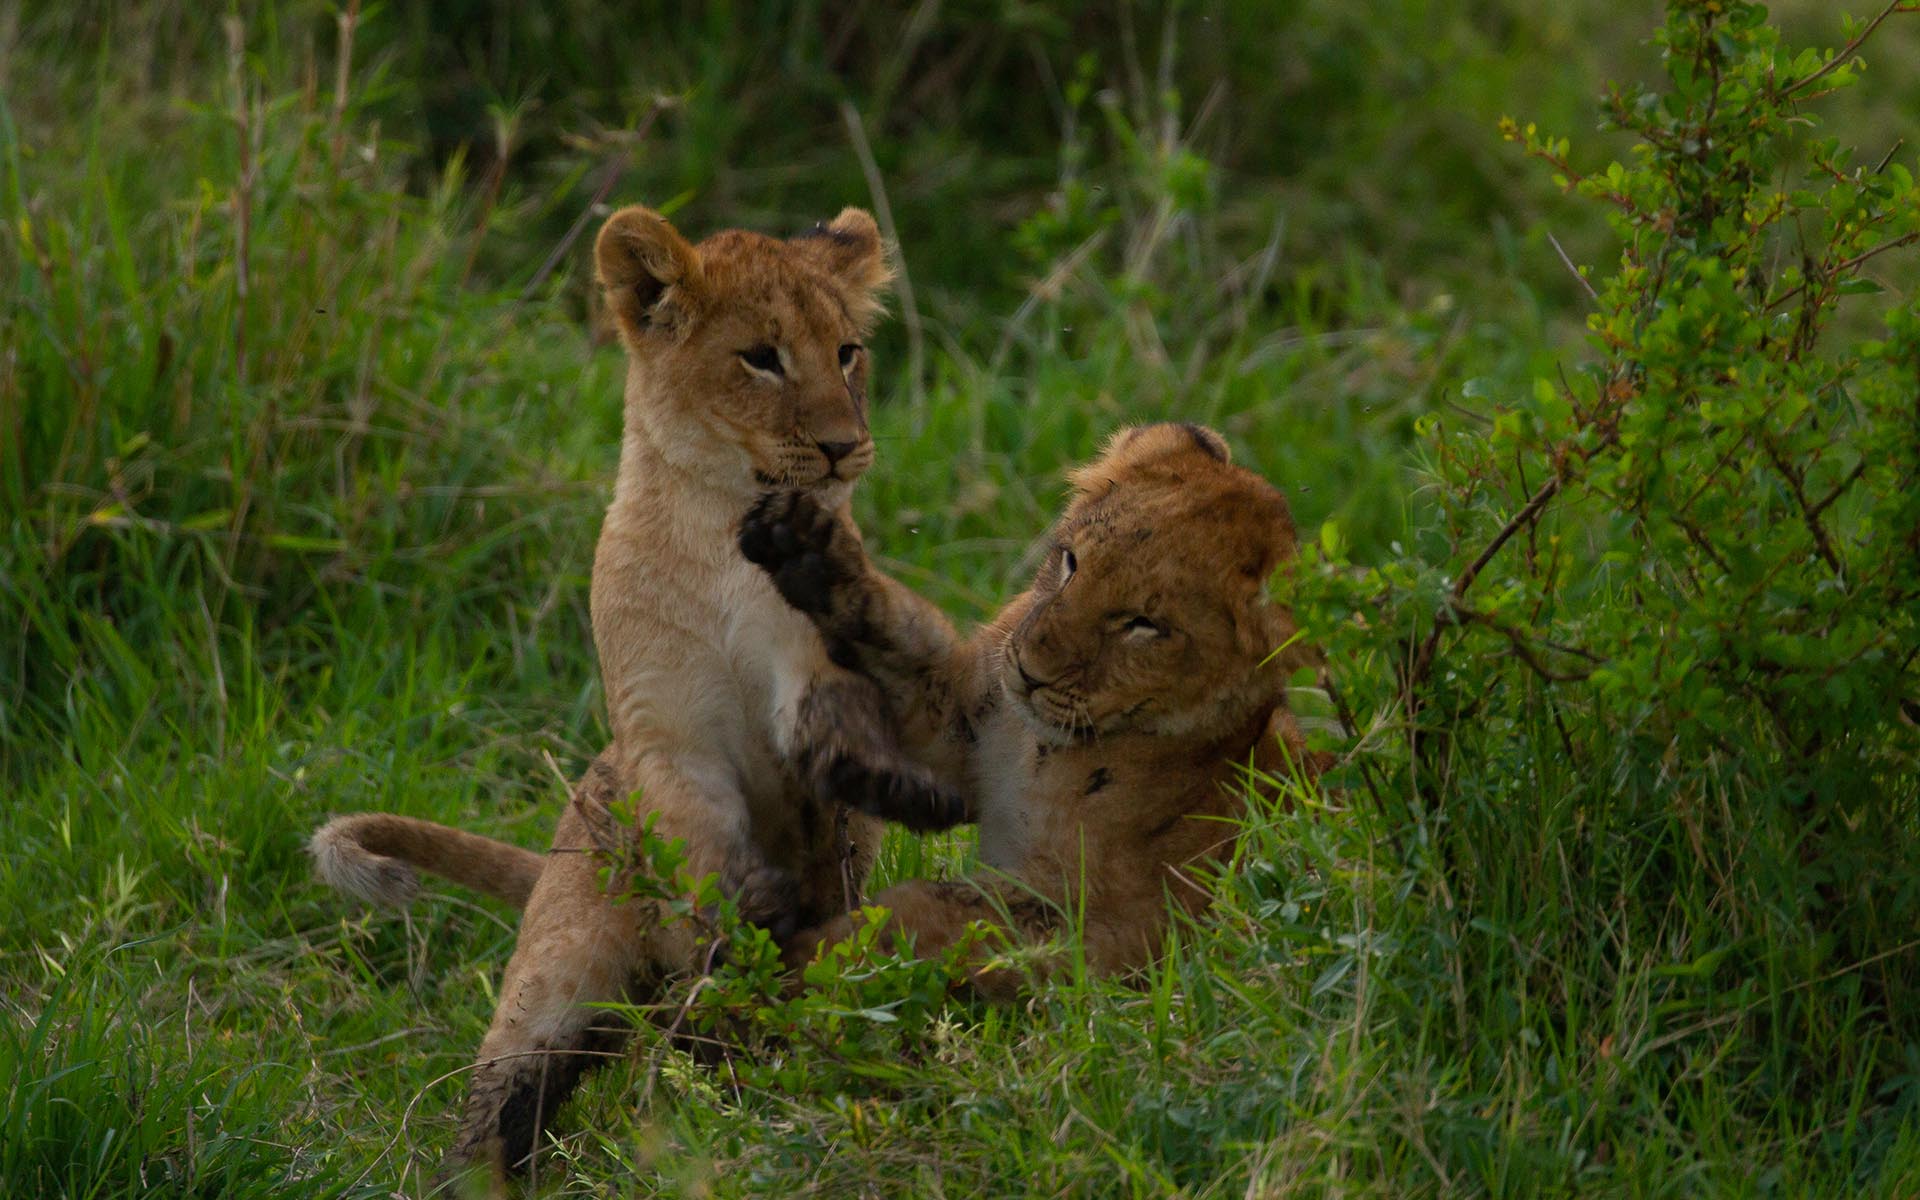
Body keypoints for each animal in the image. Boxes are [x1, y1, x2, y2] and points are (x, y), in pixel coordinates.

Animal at [308, 204, 964, 1179]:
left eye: (848, 352)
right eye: (761, 357)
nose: (844, 447)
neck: (716, 529)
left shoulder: (808, 660)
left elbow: (832, 726)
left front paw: (892, 786)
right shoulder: (664, 726)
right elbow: (696, 824)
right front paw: (749, 903)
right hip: (559, 971)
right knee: (507, 1097)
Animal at [737, 422, 1326, 997]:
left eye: (1144, 625)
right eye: (1071, 562)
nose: (1027, 670)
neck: (1040, 749)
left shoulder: (1108, 926)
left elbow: (922, 914)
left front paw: (780, 963)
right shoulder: (964, 730)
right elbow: (897, 635)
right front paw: (802, 545)